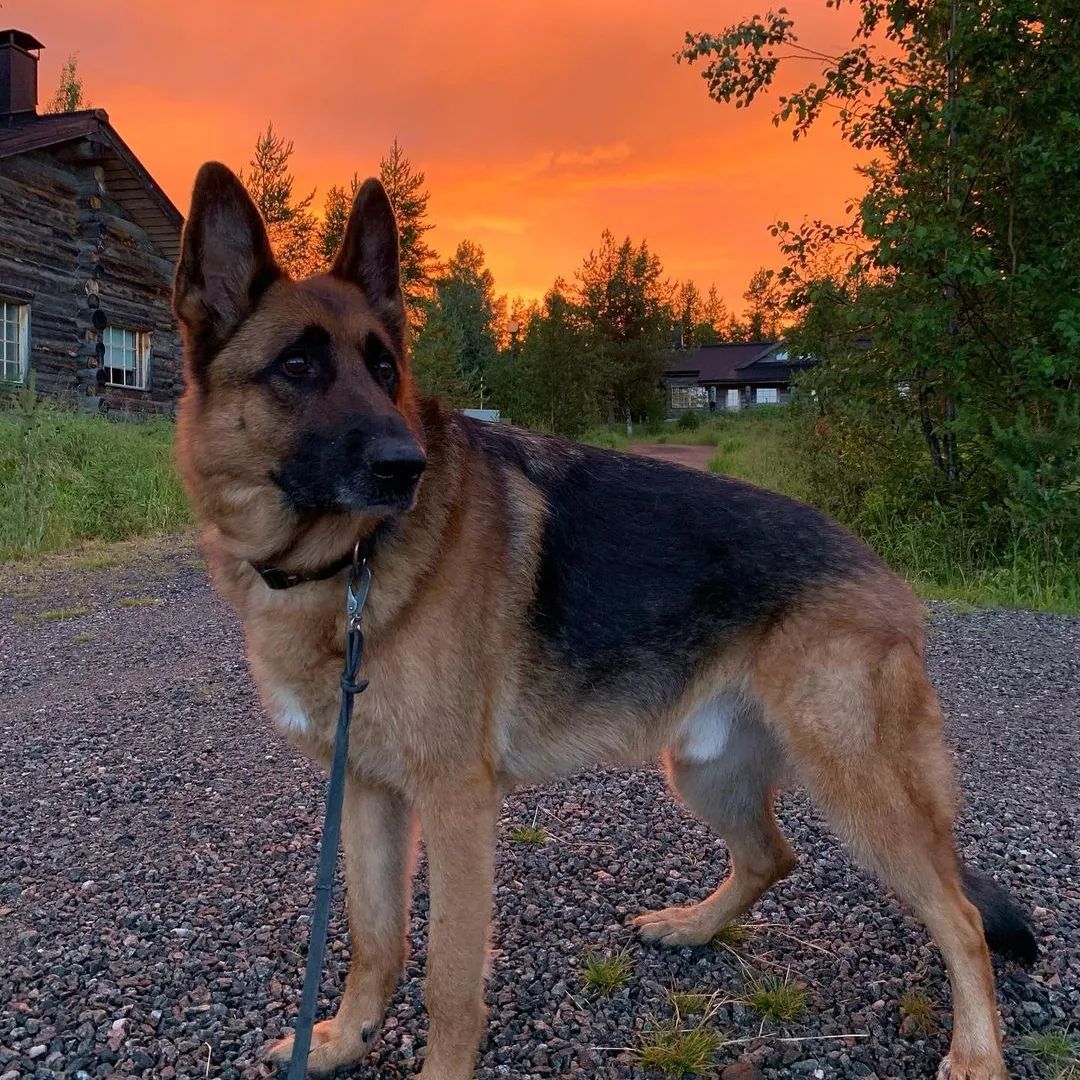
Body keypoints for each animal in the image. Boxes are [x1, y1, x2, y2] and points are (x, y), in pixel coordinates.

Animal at [174, 162, 1036, 1080]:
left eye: (382, 367)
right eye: (297, 365)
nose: (406, 466)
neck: (347, 569)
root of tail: (884, 572)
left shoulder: (454, 803)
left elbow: (448, 979)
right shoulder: (369, 792)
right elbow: (375, 940)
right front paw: (339, 1039)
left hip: (857, 784)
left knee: (960, 917)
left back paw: (977, 1053)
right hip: (702, 768)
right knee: (773, 854)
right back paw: (694, 927)